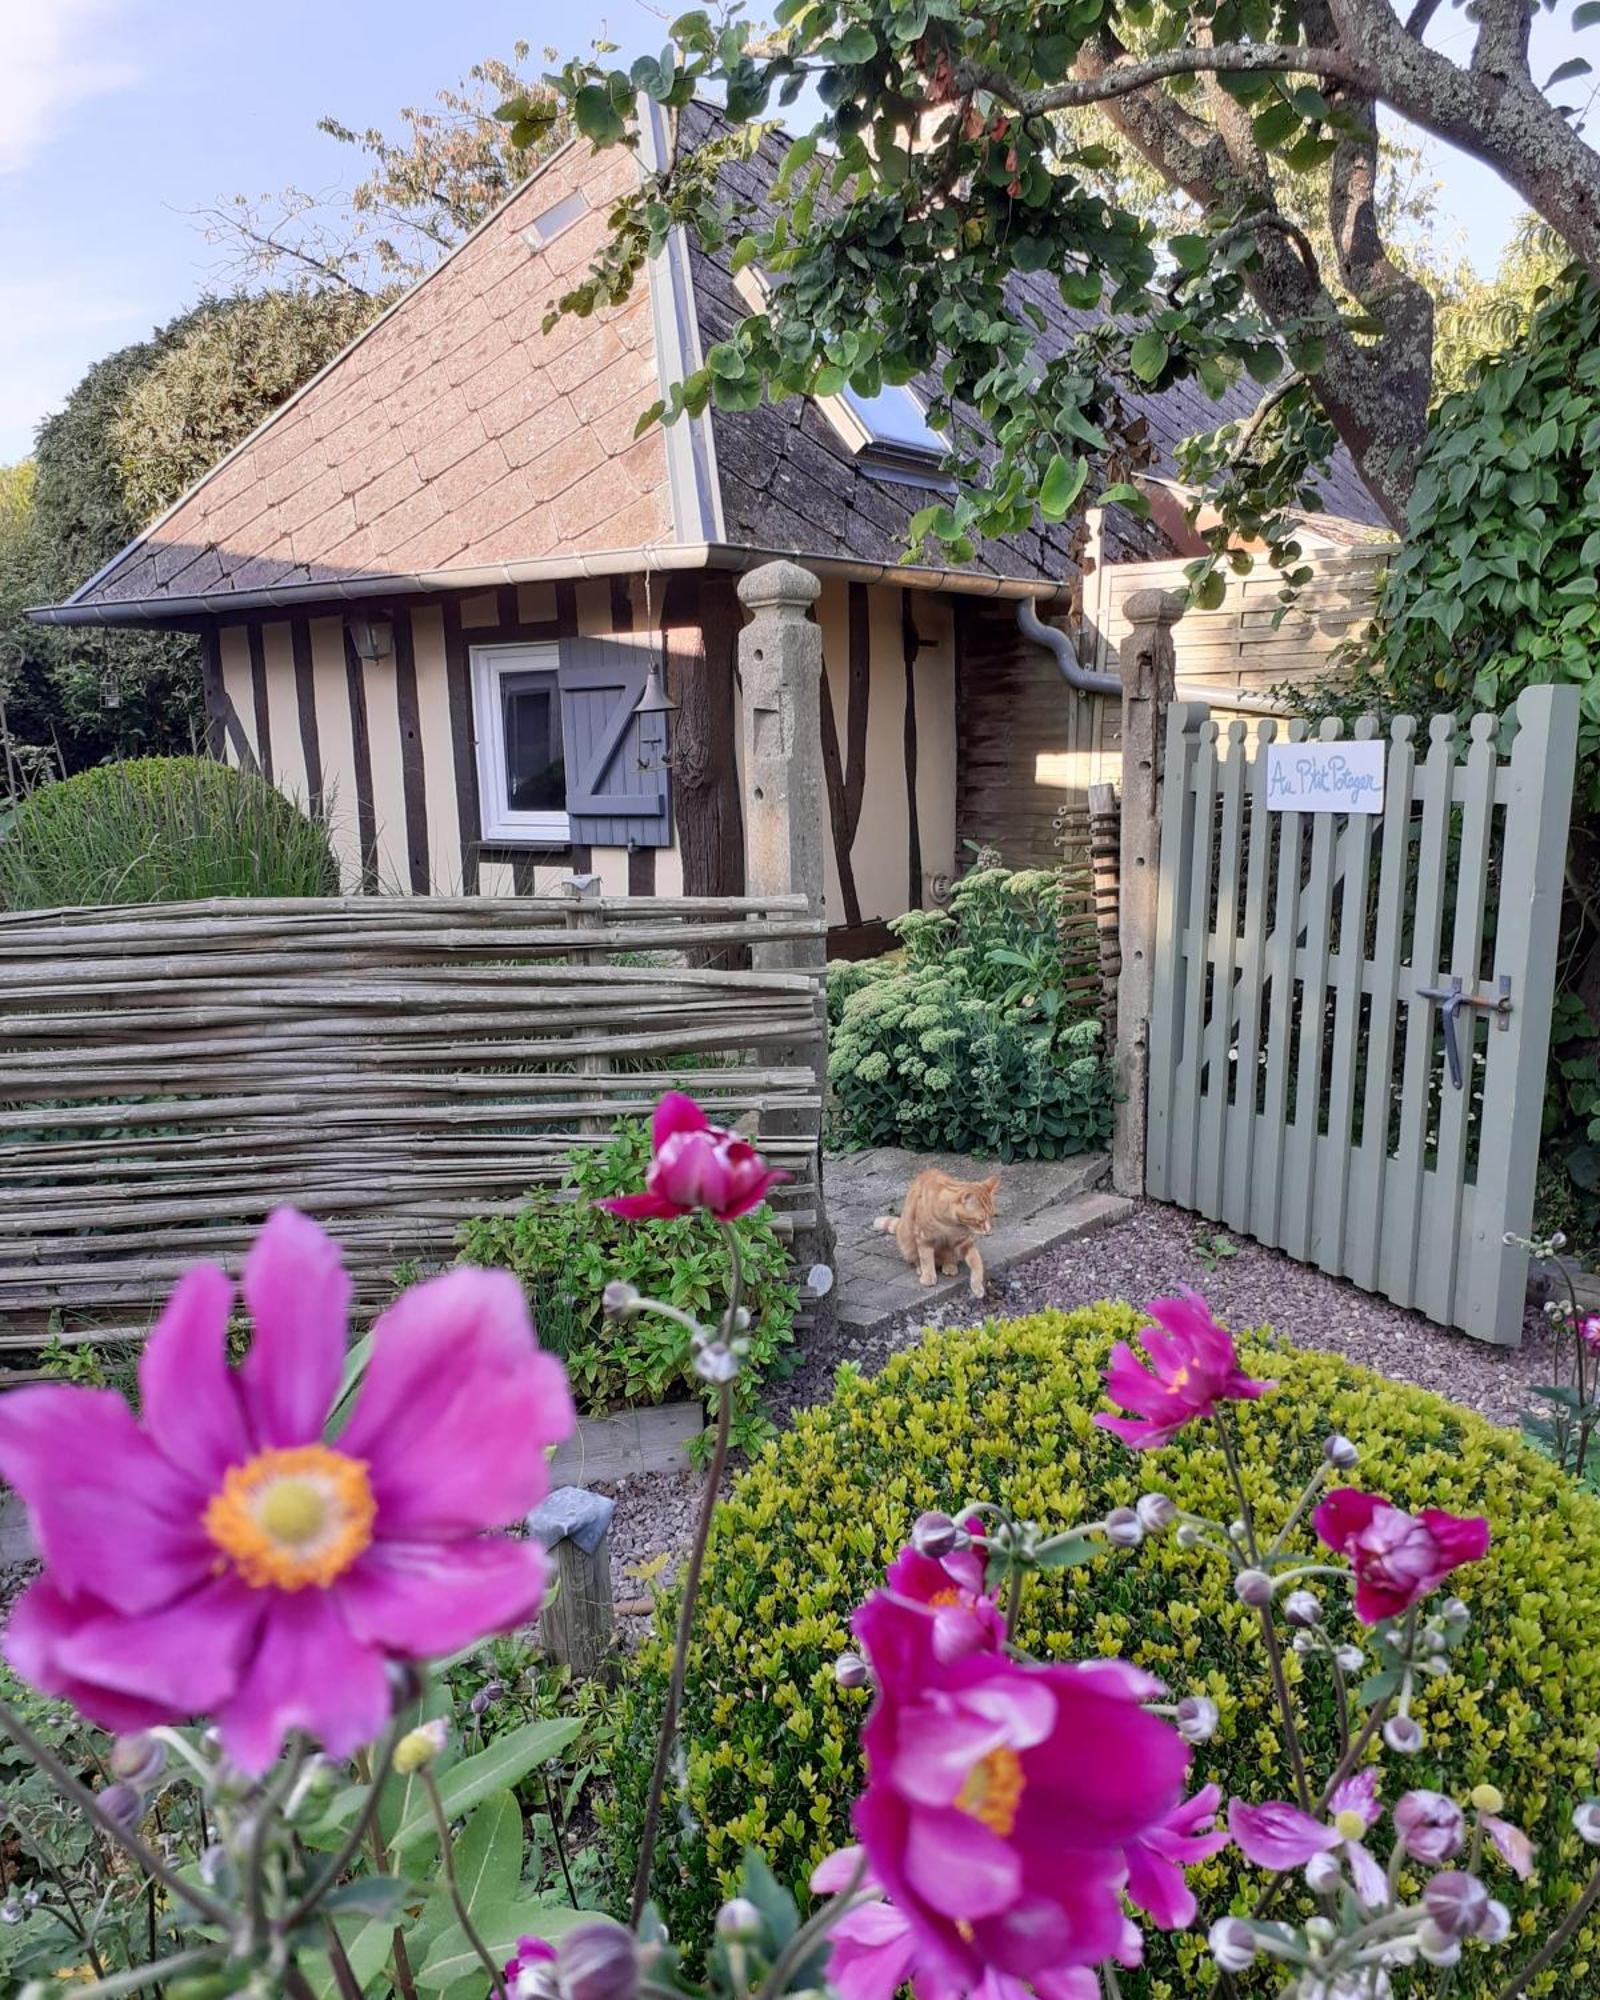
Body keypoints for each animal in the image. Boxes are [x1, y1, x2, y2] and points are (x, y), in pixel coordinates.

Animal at [876, 1168, 1000, 1296]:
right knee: (916, 1258)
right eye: (979, 1221)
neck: (949, 1223)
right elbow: (926, 1258)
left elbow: (976, 1260)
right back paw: (920, 1268)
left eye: (991, 1216)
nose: (988, 1230)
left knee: (948, 1257)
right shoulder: (924, 1237)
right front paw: (928, 1276)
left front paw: (977, 1285)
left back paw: (949, 1266)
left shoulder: (963, 1241)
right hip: (907, 1243)